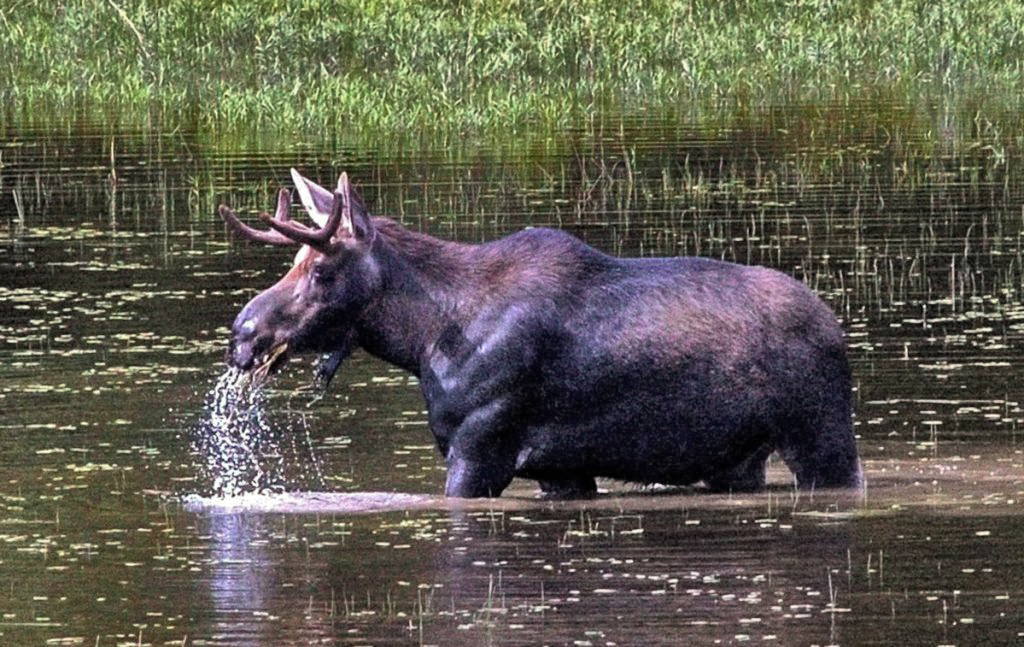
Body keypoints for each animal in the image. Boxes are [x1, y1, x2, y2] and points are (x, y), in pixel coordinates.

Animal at [220, 168, 860, 497]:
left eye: (321, 270)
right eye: (293, 264)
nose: (243, 333)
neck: (422, 340)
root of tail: (835, 327)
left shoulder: (481, 446)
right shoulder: (560, 468)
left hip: (820, 433)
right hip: (736, 459)